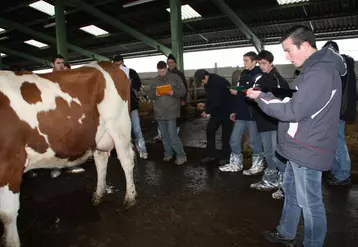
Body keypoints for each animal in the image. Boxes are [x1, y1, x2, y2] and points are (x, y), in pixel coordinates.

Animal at [0, 60, 136, 246]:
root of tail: (106, 63)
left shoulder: (10, 164)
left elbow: (7, 214)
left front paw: (11, 242)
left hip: (119, 127)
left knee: (126, 161)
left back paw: (130, 197)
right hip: (97, 135)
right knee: (101, 160)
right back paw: (98, 194)